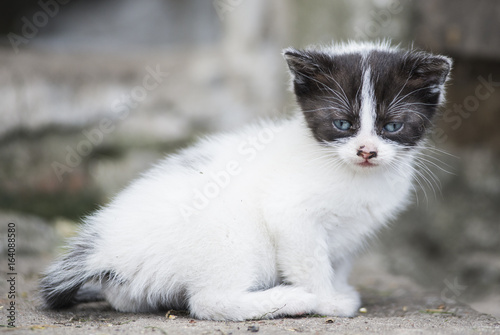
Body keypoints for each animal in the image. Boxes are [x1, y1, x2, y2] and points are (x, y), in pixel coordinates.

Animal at [40, 40, 454, 322]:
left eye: (392, 127)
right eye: (342, 124)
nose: (366, 151)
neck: (352, 173)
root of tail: (108, 247)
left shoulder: (353, 231)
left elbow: (337, 260)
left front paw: (338, 288)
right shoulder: (291, 213)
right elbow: (310, 261)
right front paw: (326, 300)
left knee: (128, 298)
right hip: (233, 237)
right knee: (209, 301)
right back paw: (288, 299)